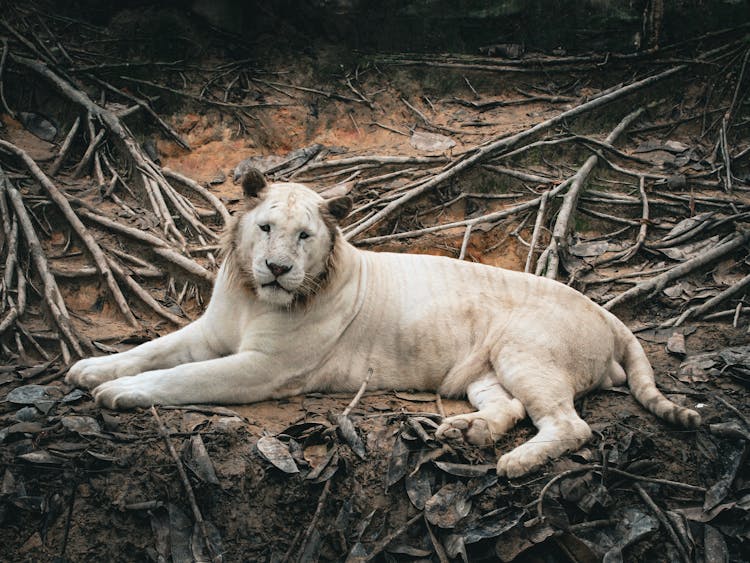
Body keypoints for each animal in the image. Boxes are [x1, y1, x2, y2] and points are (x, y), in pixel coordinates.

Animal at [67, 170, 704, 478]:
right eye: (267, 227)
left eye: (304, 236)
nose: (277, 269)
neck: (253, 297)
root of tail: (607, 312)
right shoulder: (209, 332)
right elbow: (154, 350)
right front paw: (89, 368)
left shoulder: (263, 368)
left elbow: (183, 379)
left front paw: (118, 392)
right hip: (486, 369)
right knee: (510, 409)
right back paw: (464, 433)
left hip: (527, 353)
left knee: (570, 426)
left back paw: (513, 464)